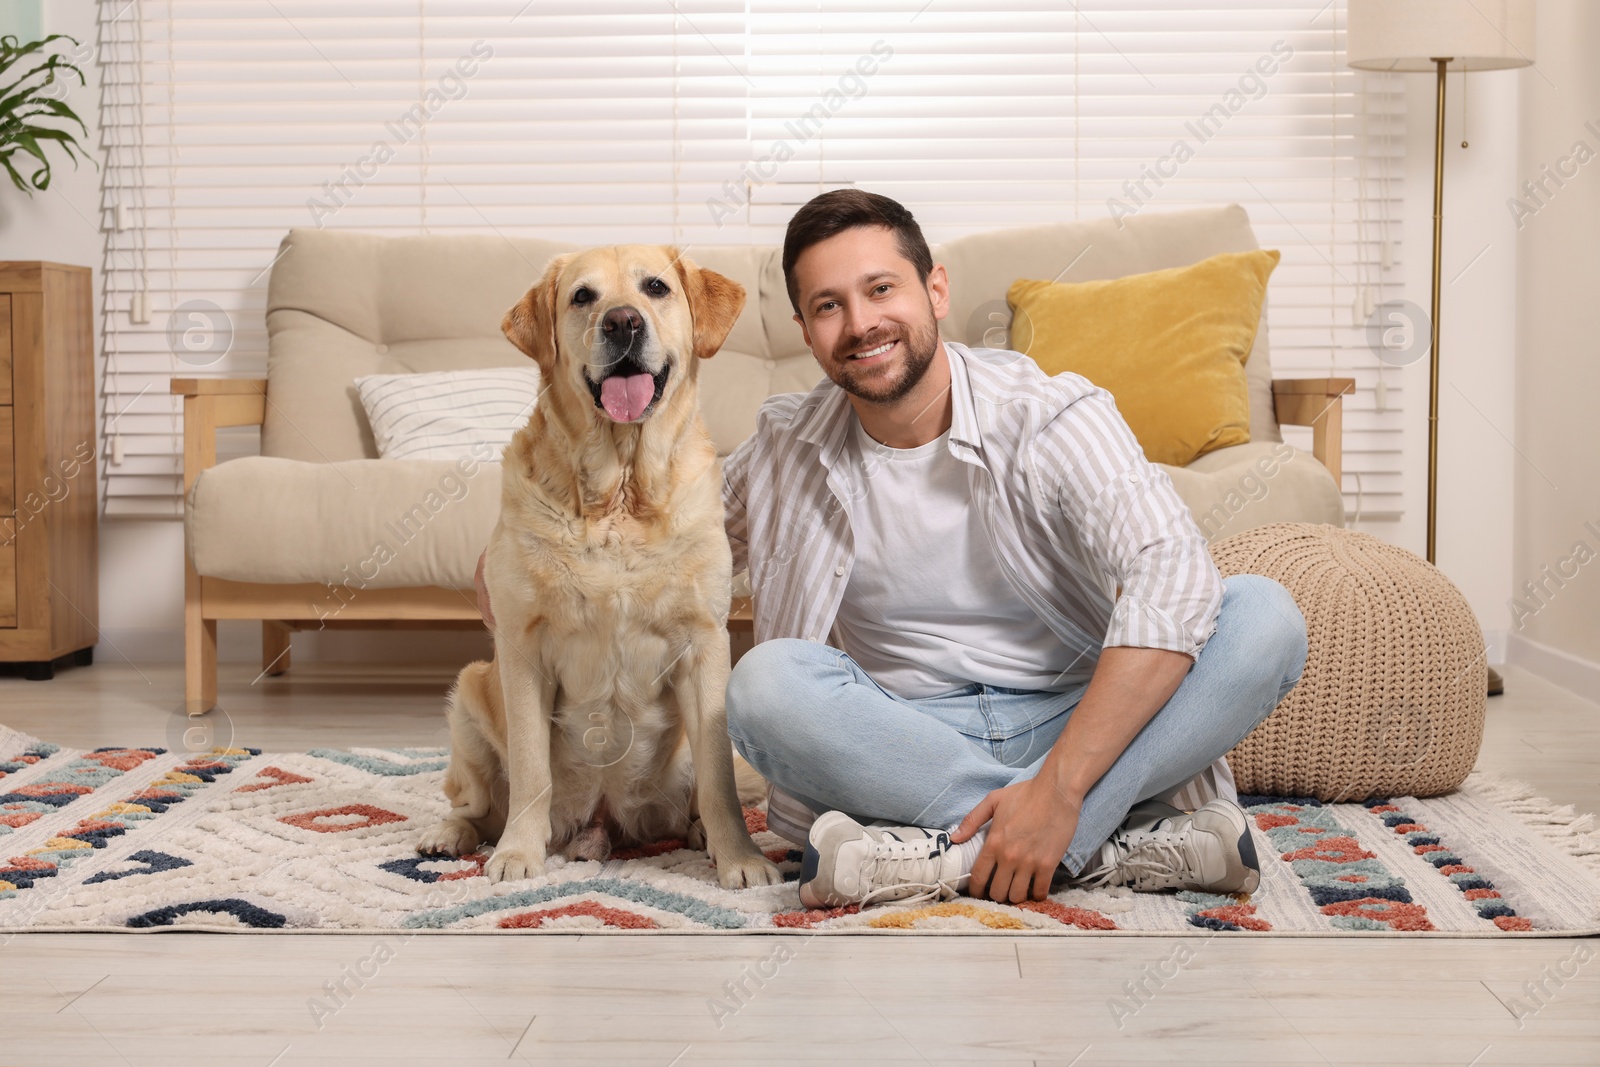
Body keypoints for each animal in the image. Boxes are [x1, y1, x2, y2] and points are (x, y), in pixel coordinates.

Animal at [416, 246, 784, 889]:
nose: (622, 322)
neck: (621, 493)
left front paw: (740, 858)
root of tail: (603, 823)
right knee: (476, 805)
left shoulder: (705, 646)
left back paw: (698, 835)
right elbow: (531, 772)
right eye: (582, 297)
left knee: (693, 802)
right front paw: (518, 854)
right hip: (469, 694)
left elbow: (719, 779)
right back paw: (452, 836)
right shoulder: (521, 649)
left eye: (656, 287)